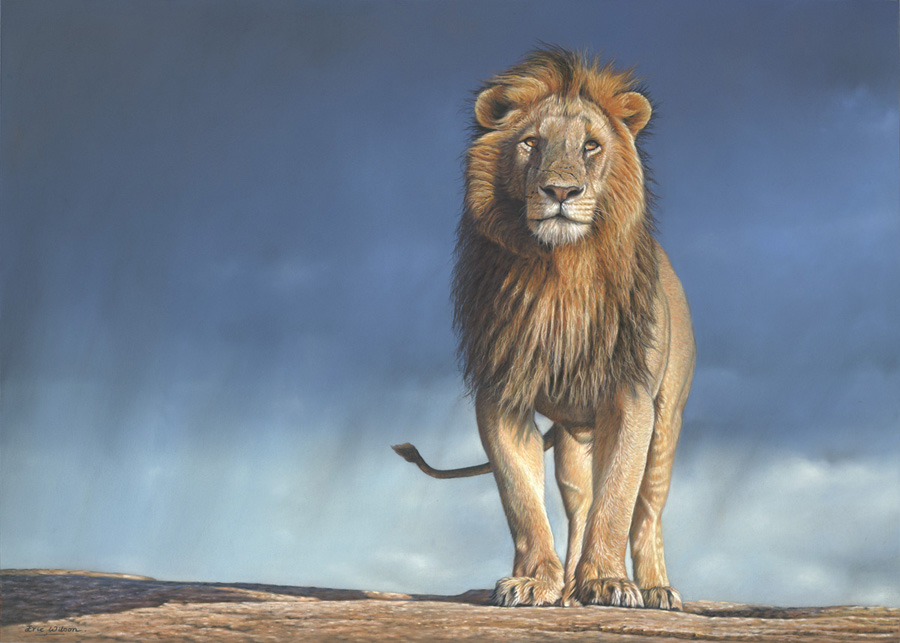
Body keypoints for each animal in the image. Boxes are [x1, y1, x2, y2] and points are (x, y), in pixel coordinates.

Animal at [393, 47, 695, 611]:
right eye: (531, 142)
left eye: (591, 145)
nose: (560, 190)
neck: (559, 272)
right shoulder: (500, 394)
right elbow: (521, 499)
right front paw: (535, 581)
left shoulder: (632, 396)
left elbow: (618, 500)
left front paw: (610, 582)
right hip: (575, 441)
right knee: (579, 504)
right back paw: (571, 589)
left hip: (667, 419)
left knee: (647, 510)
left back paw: (655, 588)